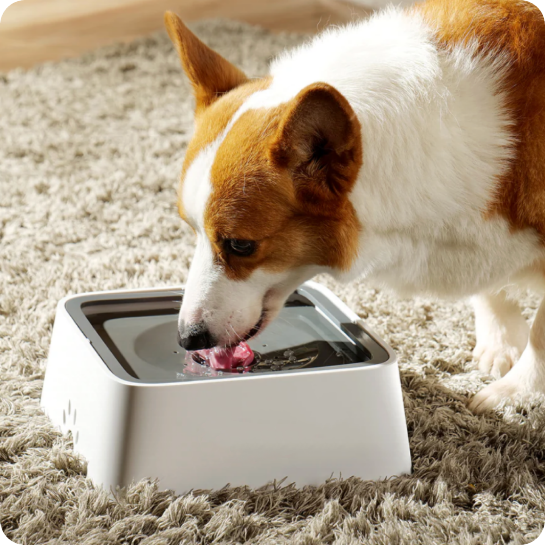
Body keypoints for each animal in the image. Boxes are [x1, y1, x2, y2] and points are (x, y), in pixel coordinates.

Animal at [164, 1, 544, 412]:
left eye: (240, 245)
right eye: (193, 230)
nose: (187, 338)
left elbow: (539, 333)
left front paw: (514, 393)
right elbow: (492, 287)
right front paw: (501, 342)